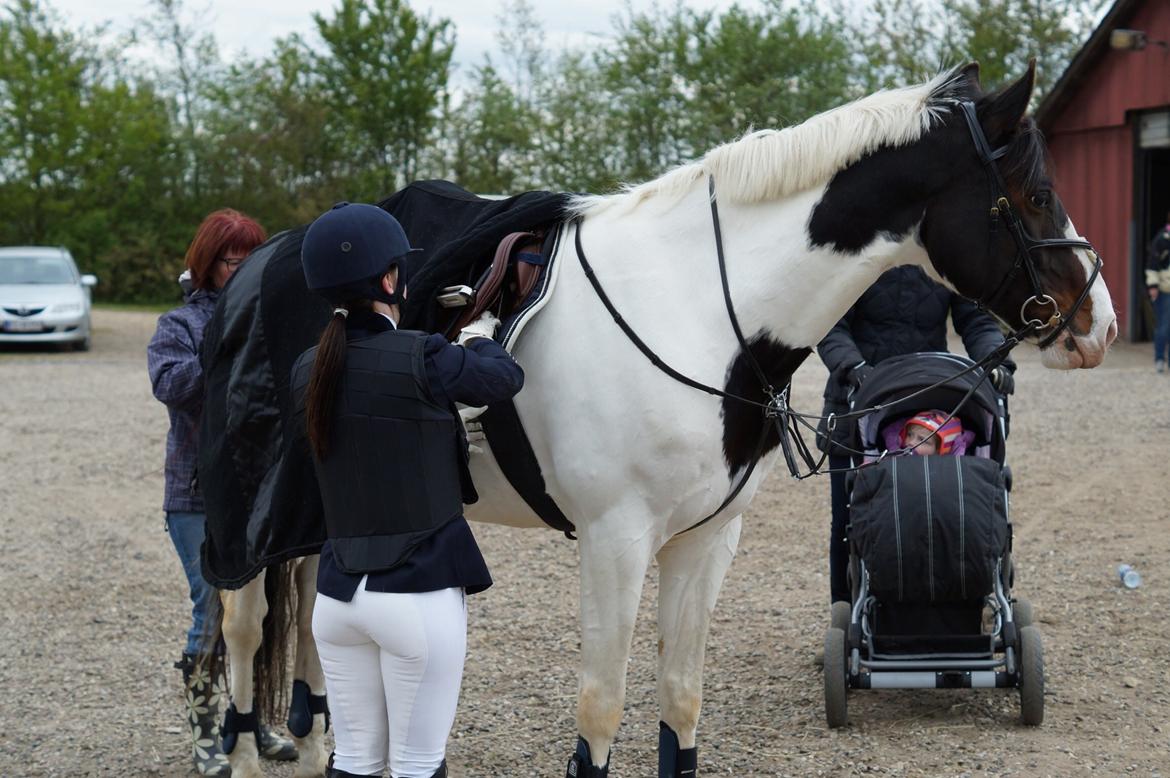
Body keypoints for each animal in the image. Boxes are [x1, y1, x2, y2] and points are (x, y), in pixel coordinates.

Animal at [210, 60, 1113, 776]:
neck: (700, 309)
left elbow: (679, 700)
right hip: (252, 511)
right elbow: (601, 707)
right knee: (245, 623)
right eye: (1036, 194)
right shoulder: (614, 541)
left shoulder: (706, 539)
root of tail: (265, 260)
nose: (1098, 323)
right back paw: (248, 752)